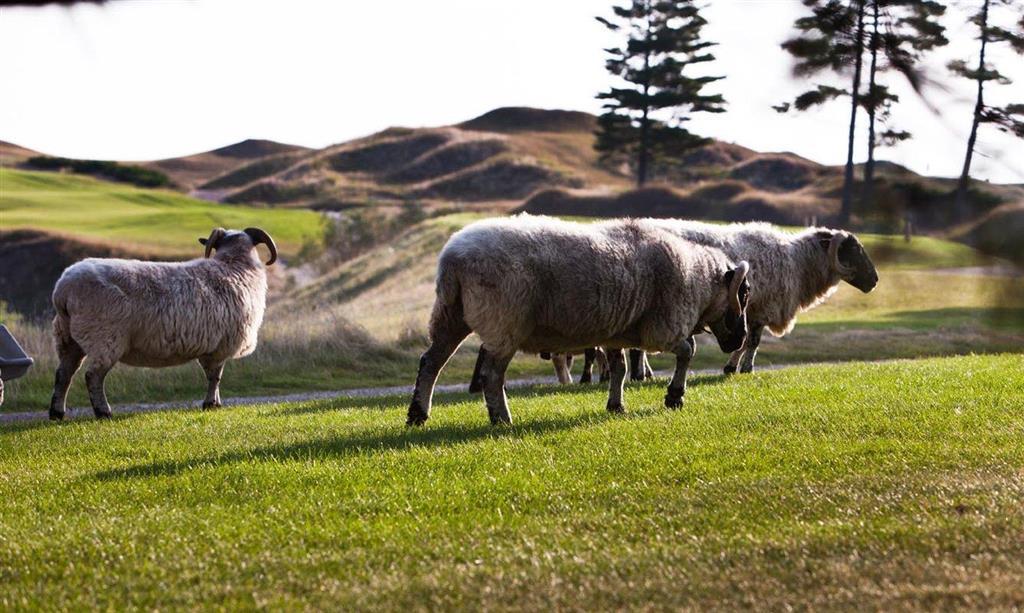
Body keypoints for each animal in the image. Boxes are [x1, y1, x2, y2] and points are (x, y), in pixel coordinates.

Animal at [48, 228, 276, 419]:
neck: (233, 266)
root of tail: (62, 290)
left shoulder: (210, 347)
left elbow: (212, 376)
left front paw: (215, 403)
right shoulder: (220, 346)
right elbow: (215, 377)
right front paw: (211, 404)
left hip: (68, 338)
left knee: (63, 374)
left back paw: (57, 413)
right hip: (104, 337)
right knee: (93, 376)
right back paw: (103, 412)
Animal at [407, 215, 753, 427]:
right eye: (746, 292)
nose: (741, 338)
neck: (700, 280)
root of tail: (452, 259)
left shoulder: (617, 332)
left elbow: (619, 368)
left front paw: (616, 405)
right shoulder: (662, 328)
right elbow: (687, 351)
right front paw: (674, 397)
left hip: (450, 315)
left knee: (431, 362)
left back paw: (417, 414)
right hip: (503, 320)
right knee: (491, 375)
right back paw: (502, 419)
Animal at [630, 221, 880, 374]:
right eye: (854, 250)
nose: (875, 280)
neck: (798, 263)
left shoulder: (749, 310)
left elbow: (744, 340)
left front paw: (732, 367)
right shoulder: (763, 308)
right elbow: (752, 341)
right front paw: (745, 368)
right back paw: (641, 373)